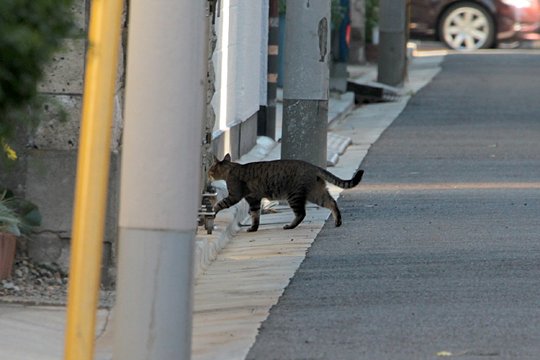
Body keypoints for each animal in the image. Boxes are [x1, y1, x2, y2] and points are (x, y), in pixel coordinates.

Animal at [209, 153, 364, 232]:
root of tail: (313, 166)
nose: (208, 173)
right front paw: (253, 228)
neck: (231, 168)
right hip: (317, 193)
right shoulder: (254, 200)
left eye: (211, 168)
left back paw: (289, 226)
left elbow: (219, 204)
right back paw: (338, 221)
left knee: (301, 213)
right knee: (332, 202)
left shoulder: (235, 196)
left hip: (294, 196)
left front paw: (213, 211)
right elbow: (255, 216)